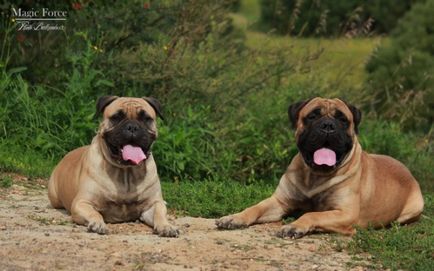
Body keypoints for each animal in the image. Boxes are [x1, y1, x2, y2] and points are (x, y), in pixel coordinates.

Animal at [49, 96, 180, 238]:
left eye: (146, 118)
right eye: (116, 117)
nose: (132, 127)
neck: (126, 173)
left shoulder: (153, 204)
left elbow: (159, 214)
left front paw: (167, 226)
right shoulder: (82, 202)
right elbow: (94, 213)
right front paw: (98, 224)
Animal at [217, 99, 424, 239]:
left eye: (342, 120)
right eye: (313, 116)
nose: (328, 125)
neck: (314, 176)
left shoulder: (345, 213)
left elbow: (312, 214)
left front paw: (294, 226)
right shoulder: (279, 202)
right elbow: (255, 207)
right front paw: (234, 218)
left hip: (414, 207)